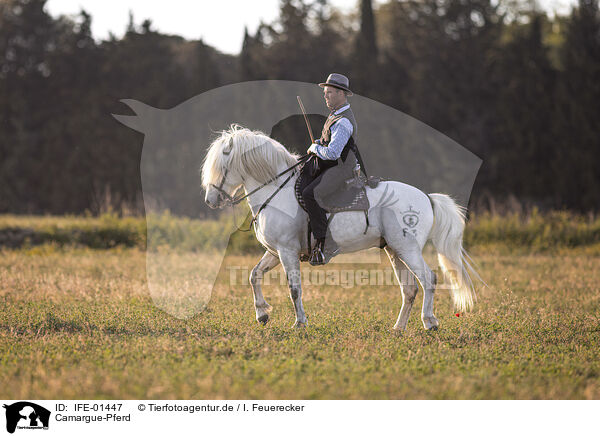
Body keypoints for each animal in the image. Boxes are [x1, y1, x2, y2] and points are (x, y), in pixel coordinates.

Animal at [202, 124, 482, 332]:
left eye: (222, 167)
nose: (210, 201)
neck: (276, 190)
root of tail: (426, 196)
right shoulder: (275, 251)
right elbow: (254, 275)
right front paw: (262, 314)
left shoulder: (286, 251)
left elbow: (294, 288)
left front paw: (299, 323)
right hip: (394, 250)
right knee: (410, 289)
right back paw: (398, 328)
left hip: (408, 248)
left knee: (428, 279)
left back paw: (429, 322)